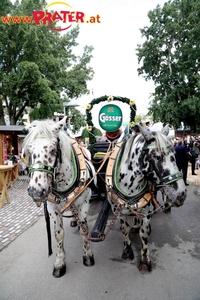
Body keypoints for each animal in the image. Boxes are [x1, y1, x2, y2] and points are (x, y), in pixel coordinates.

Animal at [22, 116, 97, 276]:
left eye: (52, 149)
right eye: (29, 151)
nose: (36, 192)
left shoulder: (84, 203)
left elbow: (84, 229)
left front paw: (88, 255)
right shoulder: (52, 208)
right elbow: (58, 234)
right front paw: (59, 262)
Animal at [105, 124, 187, 272]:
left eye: (174, 155)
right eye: (157, 156)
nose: (181, 194)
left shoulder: (147, 211)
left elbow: (144, 233)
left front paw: (145, 259)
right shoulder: (117, 210)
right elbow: (124, 229)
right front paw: (127, 250)